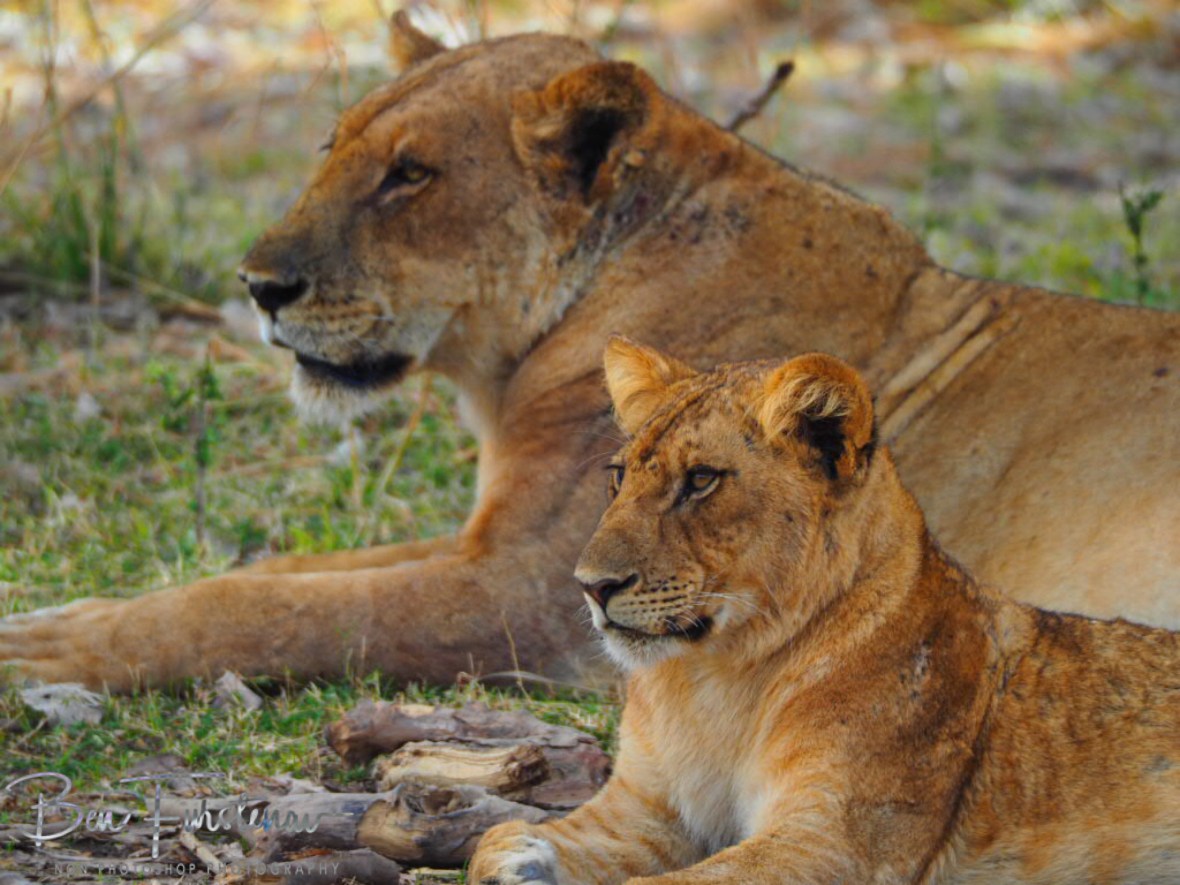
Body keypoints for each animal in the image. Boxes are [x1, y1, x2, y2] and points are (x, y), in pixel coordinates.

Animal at [1, 14, 1177, 690]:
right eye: (332, 150)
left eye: (409, 177)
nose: (258, 287)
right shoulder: (492, 543)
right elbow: (277, 572)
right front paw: (65, 614)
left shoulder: (532, 590)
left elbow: (279, 611)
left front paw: (43, 654)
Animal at [469, 338, 1180, 885]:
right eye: (619, 477)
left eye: (700, 480)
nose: (591, 586)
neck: (715, 680)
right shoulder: (644, 811)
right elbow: (494, 840)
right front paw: (517, 860)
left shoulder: (833, 842)